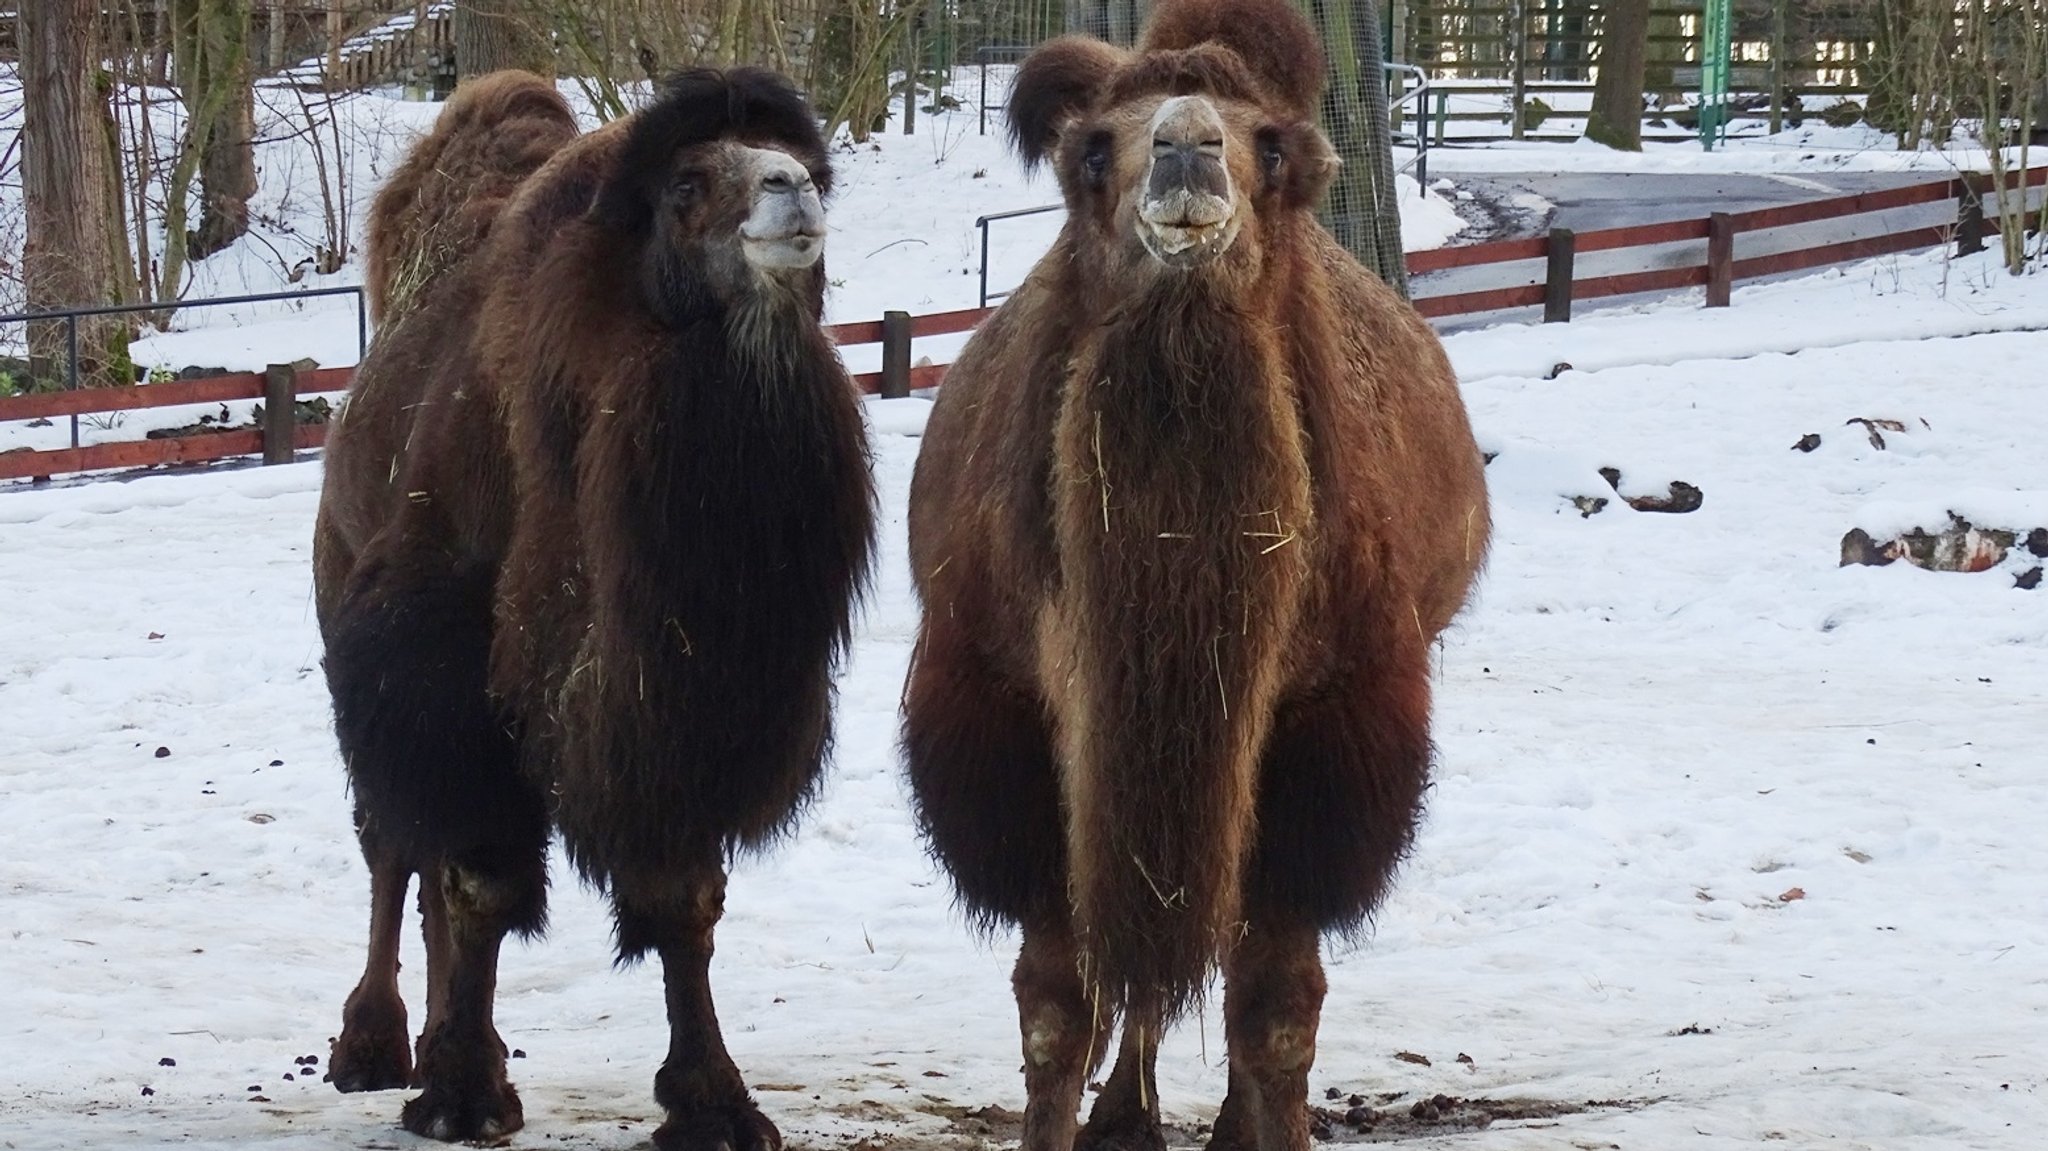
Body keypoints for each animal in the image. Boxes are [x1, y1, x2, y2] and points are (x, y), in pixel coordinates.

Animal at [315, 67, 876, 1138]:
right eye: (689, 183)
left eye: (800, 161)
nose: (791, 193)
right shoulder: (440, 662)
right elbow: (479, 873)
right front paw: (461, 1097)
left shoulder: (680, 704)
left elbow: (682, 897)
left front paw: (715, 1100)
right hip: (352, 621)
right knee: (390, 843)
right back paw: (371, 1045)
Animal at [897, 2, 1490, 1146]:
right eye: (1091, 149)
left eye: (1274, 148)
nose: (1184, 150)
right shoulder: (1003, 713)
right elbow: (1060, 1003)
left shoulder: (1331, 723)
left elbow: (1274, 1008)